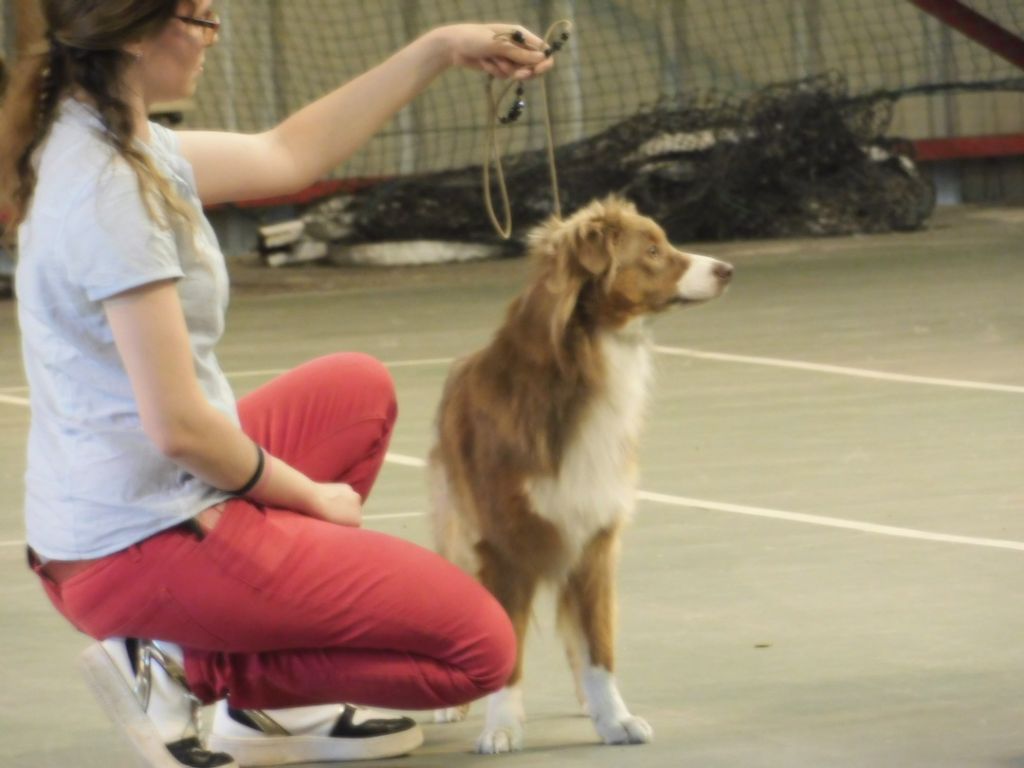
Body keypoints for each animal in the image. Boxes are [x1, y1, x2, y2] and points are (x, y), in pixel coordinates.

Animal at [428, 195, 733, 753]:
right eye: (652, 250)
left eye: (664, 241)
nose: (726, 269)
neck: (585, 362)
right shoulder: (501, 547)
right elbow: (507, 653)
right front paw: (502, 727)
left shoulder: (594, 536)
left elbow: (597, 647)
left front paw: (614, 718)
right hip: (456, 538)